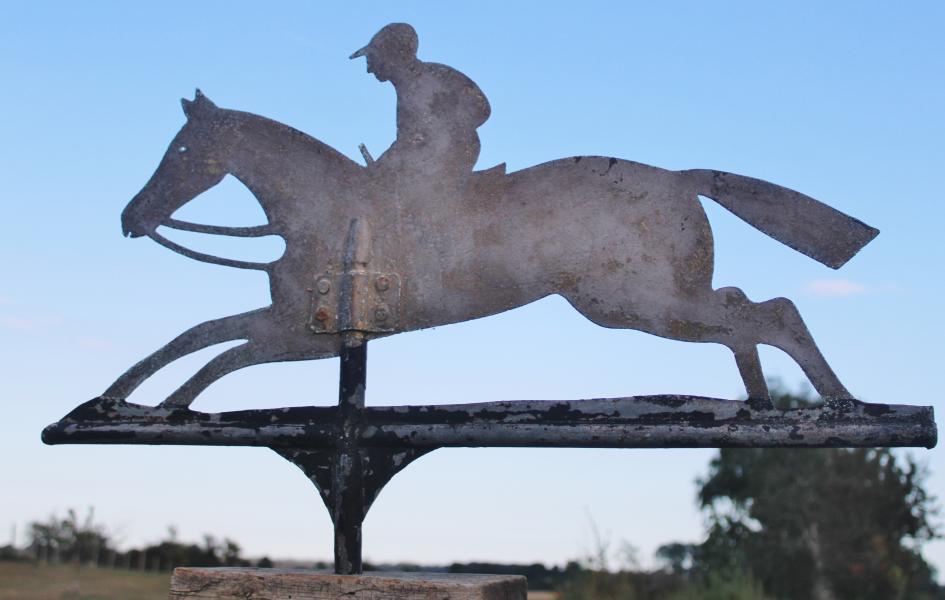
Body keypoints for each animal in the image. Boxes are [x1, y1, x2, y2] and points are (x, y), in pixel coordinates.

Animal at [110, 90, 877, 408]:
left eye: (183, 151)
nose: (130, 217)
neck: (321, 209)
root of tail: (681, 179)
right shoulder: (291, 326)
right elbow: (197, 334)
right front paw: (118, 398)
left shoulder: (307, 340)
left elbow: (222, 354)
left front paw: (166, 406)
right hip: (652, 300)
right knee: (748, 312)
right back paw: (765, 401)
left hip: (635, 303)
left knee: (770, 313)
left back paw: (837, 403)